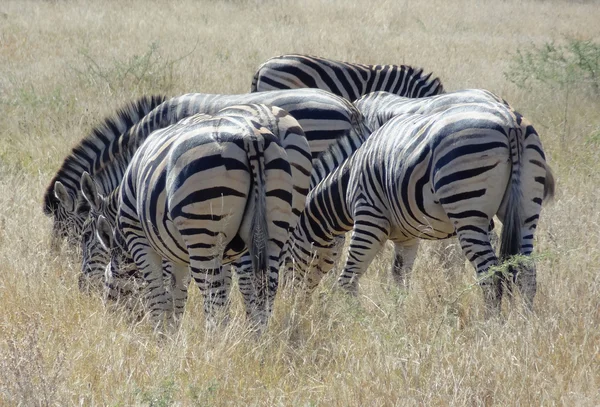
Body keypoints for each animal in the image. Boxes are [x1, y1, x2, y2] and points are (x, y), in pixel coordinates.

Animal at [83, 103, 314, 330]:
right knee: (265, 286)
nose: (112, 325)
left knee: (217, 294)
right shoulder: (178, 252)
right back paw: (256, 335)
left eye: (107, 282)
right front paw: (172, 332)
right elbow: (177, 293)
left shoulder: (140, 241)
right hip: (276, 226)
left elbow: (158, 294)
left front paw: (160, 333)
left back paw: (215, 338)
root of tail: (250, 135)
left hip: (203, 229)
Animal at [288, 99, 556, 316]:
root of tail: (509, 120)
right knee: (527, 271)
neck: (348, 180)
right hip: (525, 209)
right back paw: (522, 323)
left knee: (491, 273)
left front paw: (354, 319)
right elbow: (399, 279)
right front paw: (396, 315)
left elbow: (348, 279)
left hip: (466, 209)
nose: (294, 303)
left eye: (288, 253)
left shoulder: (369, 218)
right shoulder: (406, 236)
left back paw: (492, 325)